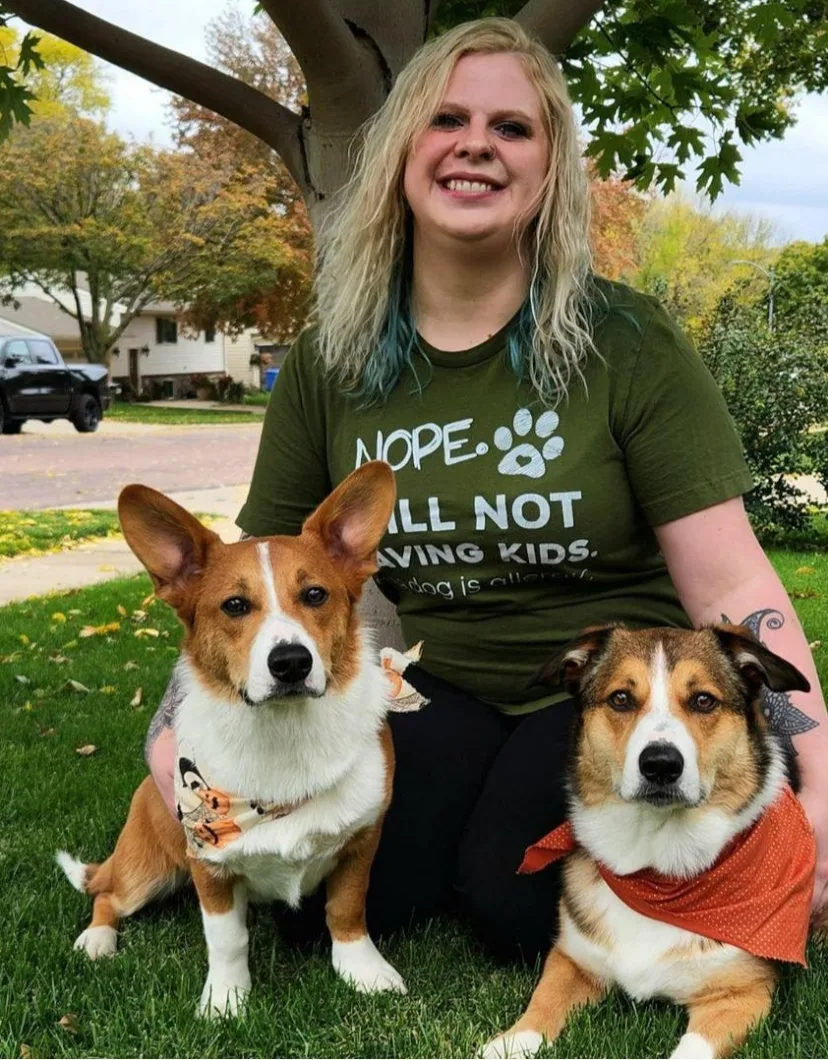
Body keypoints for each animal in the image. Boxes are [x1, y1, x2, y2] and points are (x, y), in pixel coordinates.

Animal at [57, 464, 407, 1017]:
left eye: (315, 595)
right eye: (235, 605)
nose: (291, 663)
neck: (285, 732)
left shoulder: (360, 844)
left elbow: (347, 911)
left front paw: (362, 971)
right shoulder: (210, 866)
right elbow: (226, 939)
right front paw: (226, 1001)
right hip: (147, 872)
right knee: (107, 894)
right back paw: (97, 940)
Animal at [485, 623, 814, 1055]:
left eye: (703, 700)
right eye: (621, 698)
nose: (660, 764)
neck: (657, 869)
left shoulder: (741, 994)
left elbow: (692, 1048)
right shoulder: (572, 959)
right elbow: (543, 1003)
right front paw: (507, 1044)